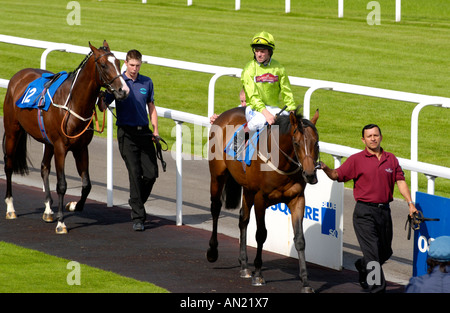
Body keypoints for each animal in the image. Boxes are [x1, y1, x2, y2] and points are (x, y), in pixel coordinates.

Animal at [3, 40, 129, 233]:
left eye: (117, 62)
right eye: (103, 65)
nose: (123, 90)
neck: (72, 104)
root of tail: (18, 76)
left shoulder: (81, 148)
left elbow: (87, 184)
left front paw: (73, 205)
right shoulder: (61, 147)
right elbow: (62, 185)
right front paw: (61, 222)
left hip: (48, 142)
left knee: (44, 167)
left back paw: (48, 210)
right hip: (12, 131)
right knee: (9, 165)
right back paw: (10, 208)